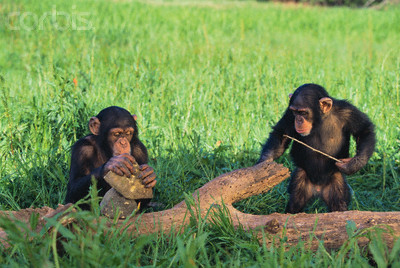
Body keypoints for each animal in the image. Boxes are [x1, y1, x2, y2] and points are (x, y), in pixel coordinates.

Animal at [258, 84, 376, 214]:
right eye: (295, 112)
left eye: (303, 112)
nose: (298, 120)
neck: (321, 119)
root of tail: (318, 189)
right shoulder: (289, 114)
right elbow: (281, 133)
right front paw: (263, 164)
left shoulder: (348, 112)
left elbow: (364, 130)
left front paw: (354, 163)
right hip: (302, 180)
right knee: (295, 202)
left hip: (335, 183)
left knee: (338, 204)